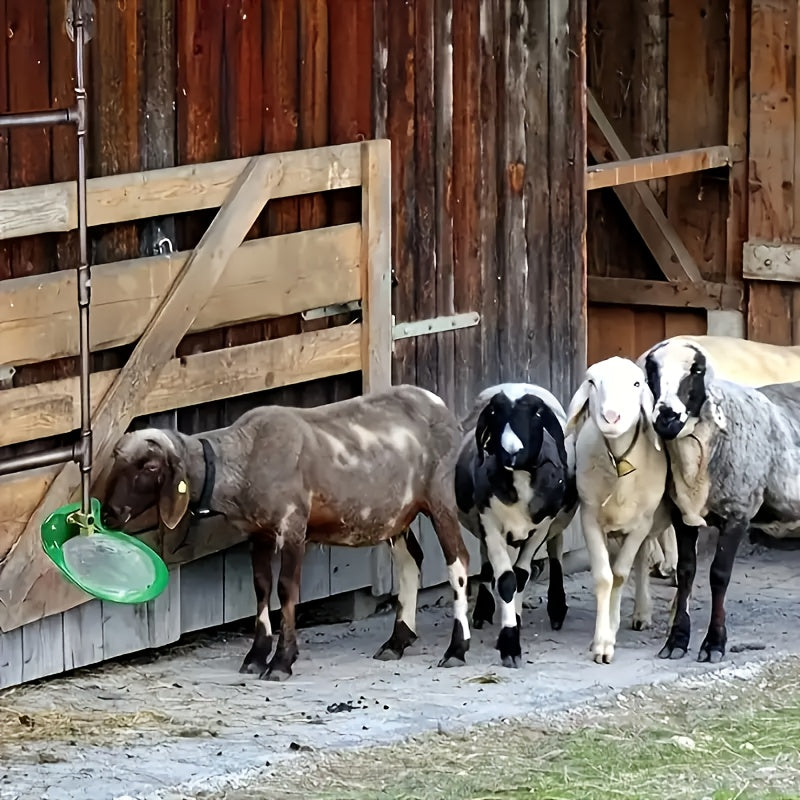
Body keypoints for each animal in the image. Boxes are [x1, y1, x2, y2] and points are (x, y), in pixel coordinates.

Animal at [102, 388, 472, 680]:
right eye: (116, 462)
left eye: (150, 468)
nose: (109, 514)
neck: (246, 456)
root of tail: (438, 403)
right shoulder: (259, 533)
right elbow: (262, 587)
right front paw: (255, 656)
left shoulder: (293, 526)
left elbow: (286, 590)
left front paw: (281, 662)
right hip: (397, 513)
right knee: (411, 562)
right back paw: (397, 642)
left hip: (441, 498)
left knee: (458, 564)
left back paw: (456, 649)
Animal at [454, 384, 580, 664]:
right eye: (494, 412)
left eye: (537, 414)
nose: (512, 452)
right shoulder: (489, 524)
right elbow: (506, 580)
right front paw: (510, 641)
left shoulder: (542, 527)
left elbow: (521, 576)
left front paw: (513, 632)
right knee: (487, 566)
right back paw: (484, 610)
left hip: (557, 521)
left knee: (556, 551)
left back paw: (556, 608)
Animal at [564, 356, 672, 664]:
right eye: (591, 382)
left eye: (636, 384)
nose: (611, 417)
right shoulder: (590, 518)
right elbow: (605, 577)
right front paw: (603, 639)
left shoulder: (641, 523)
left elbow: (621, 574)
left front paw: (609, 632)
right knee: (642, 560)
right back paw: (640, 612)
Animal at [640, 340, 800, 664]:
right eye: (651, 369)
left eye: (697, 369)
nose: (666, 417)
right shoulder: (681, 516)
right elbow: (687, 572)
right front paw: (677, 640)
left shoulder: (738, 512)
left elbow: (719, 576)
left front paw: (714, 643)